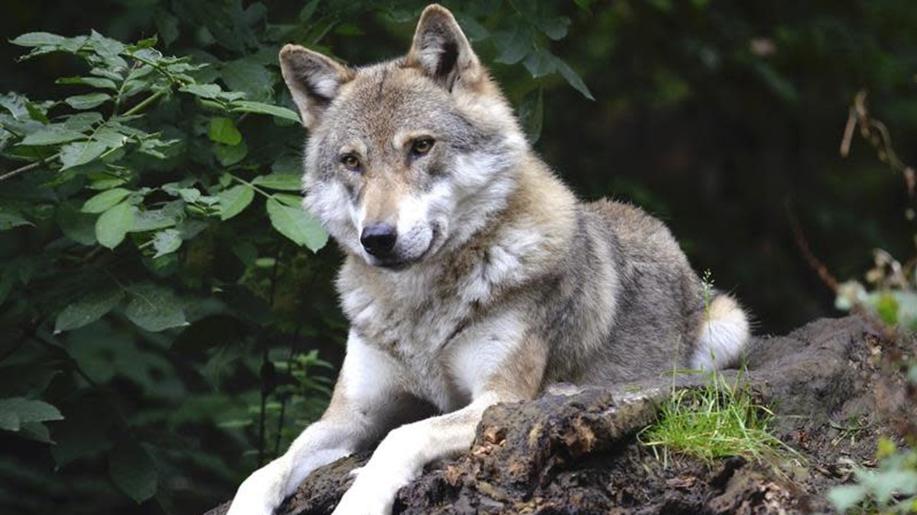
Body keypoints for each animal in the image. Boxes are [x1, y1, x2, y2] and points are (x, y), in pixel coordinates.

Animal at [225, 5, 748, 515]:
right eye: (352, 161)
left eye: (421, 146)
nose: (377, 238)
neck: (420, 310)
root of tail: (650, 222)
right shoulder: (350, 415)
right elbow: (265, 469)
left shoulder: (497, 398)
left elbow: (401, 436)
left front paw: (361, 498)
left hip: (728, 328)